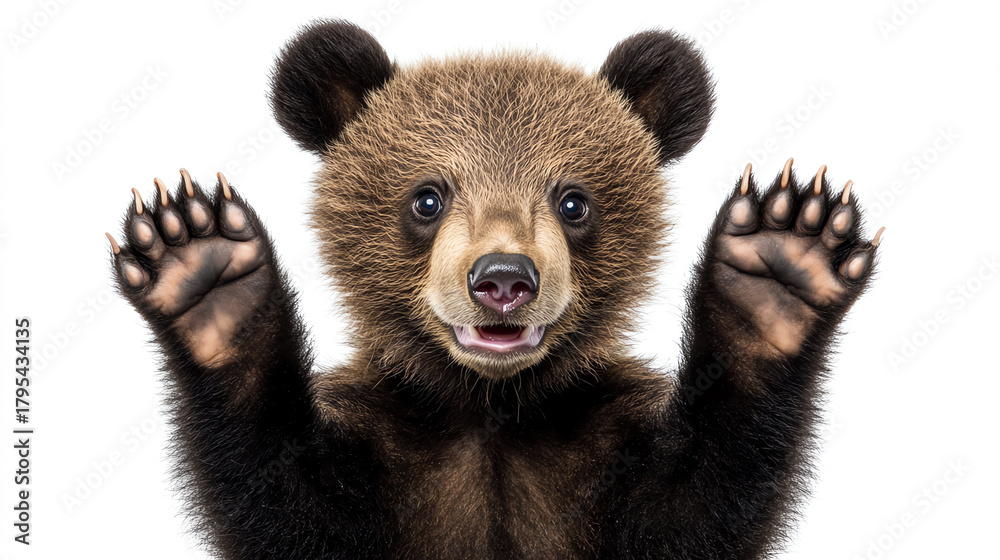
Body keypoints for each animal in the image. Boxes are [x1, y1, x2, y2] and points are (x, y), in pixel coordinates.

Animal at [106, 20, 883, 560]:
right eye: (427, 197)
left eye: (573, 201)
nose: (503, 279)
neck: (490, 406)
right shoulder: (394, 445)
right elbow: (288, 498)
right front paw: (205, 271)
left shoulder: (592, 443)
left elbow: (694, 500)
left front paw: (779, 264)